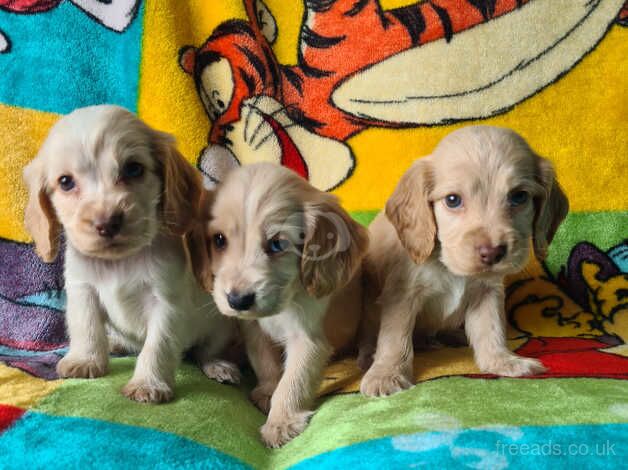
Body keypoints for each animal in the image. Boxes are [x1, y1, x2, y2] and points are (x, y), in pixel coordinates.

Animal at [22, 105, 238, 404]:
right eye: (65, 182)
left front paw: (148, 383)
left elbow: (157, 347)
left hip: (220, 326)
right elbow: (87, 327)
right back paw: (114, 344)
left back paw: (218, 366)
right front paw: (86, 360)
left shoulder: (167, 304)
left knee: (204, 351)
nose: (107, 222)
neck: (119, 262)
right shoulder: (83, 291)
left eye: (133, 168)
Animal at [186, 164, 368, 448]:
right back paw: (218, 366)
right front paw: (267, 391)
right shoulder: (253, 329)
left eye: (277, 244)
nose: (237, 300)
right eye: (219, 240)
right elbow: (265, 362)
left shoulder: (308, 340)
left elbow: (292, 382)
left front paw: (280, 423)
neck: (285, 304)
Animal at [358, 125, 568, 396]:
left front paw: (502, 361)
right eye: (452, 200)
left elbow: (491, 329)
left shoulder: (487, 293)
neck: (451, 268)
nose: (492, 252)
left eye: (519, 197)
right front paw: (386, 374)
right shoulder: (401, 295)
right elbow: (395, 339)